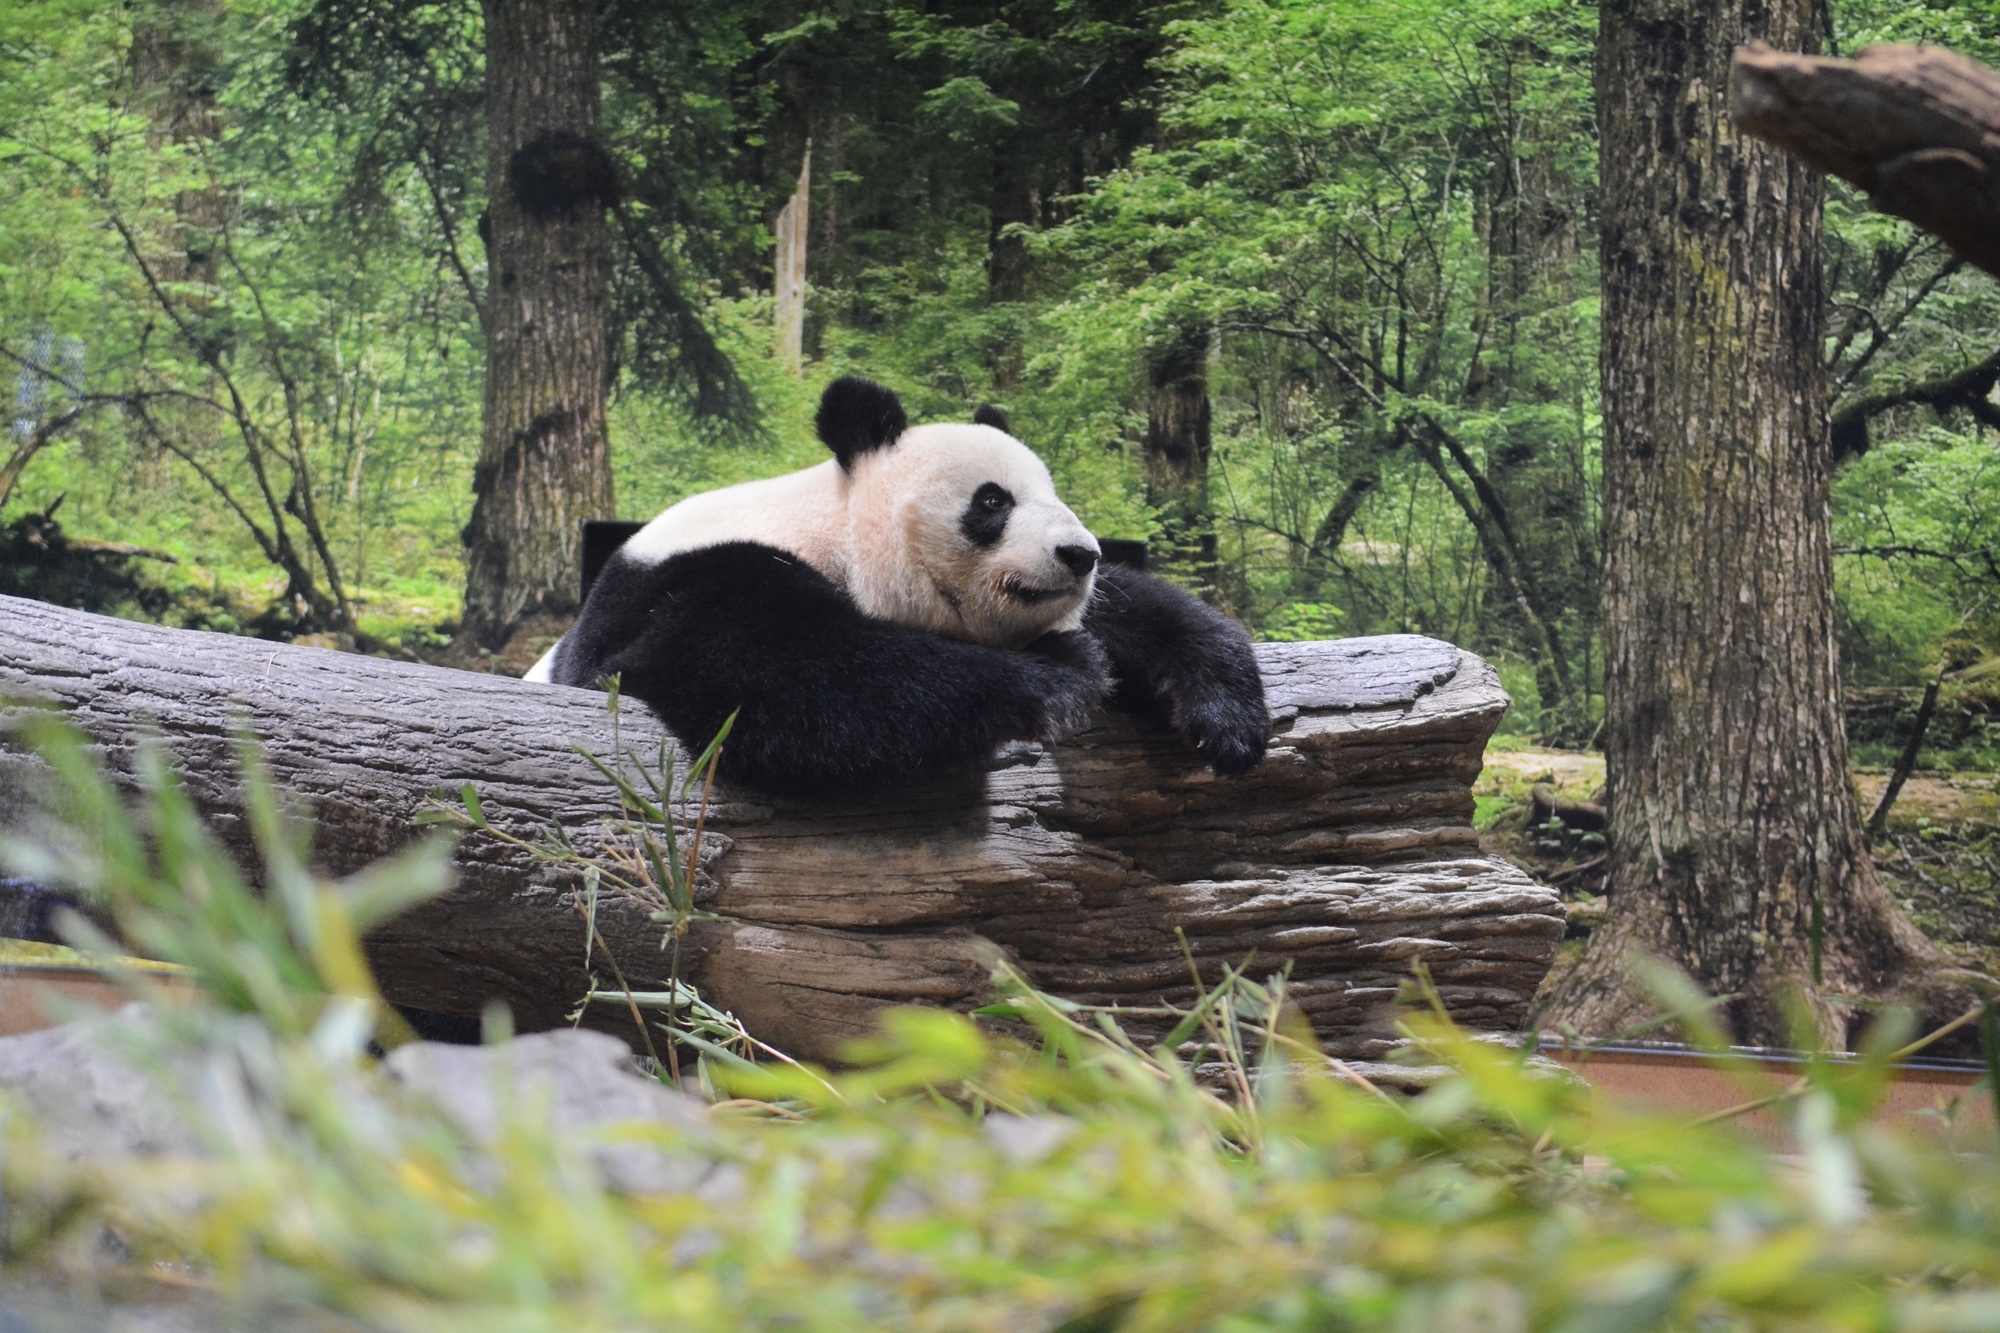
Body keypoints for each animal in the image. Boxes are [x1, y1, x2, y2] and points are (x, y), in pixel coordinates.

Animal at [532, 374, 1264, 788]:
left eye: (1054, 495)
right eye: (992, 501)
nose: (1078, 553)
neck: (836, 526)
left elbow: (1135, 608)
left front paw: (1225, 719)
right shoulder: (696, 583)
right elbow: (798, 681)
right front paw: (1063, 666)